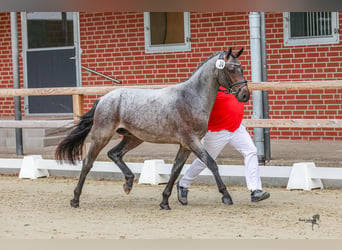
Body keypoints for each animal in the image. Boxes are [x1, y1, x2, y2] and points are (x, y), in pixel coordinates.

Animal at [55, 47, 248, 210]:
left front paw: (164, 201)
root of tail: (103, 99)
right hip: (102, 136)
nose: (244, 94)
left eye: (242, 68)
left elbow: (175, 170)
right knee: (88, 163)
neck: (190, 97)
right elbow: (211, 163)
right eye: (231, 69)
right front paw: (226, 196)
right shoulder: (191, 141)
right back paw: (75, 199)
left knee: (114, 154)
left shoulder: (185, 145)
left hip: (133, 137)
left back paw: (128, 183)